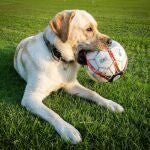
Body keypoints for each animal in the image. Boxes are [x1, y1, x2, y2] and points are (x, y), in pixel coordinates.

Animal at [14, 9, 123, 144]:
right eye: (89, 29)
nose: (111, 41)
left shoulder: (71, 85)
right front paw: (68, 130)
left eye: (96, 27)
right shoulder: (30, 97)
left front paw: (110, 104)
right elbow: (52, 113)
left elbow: (93, 93)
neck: (58, 57)